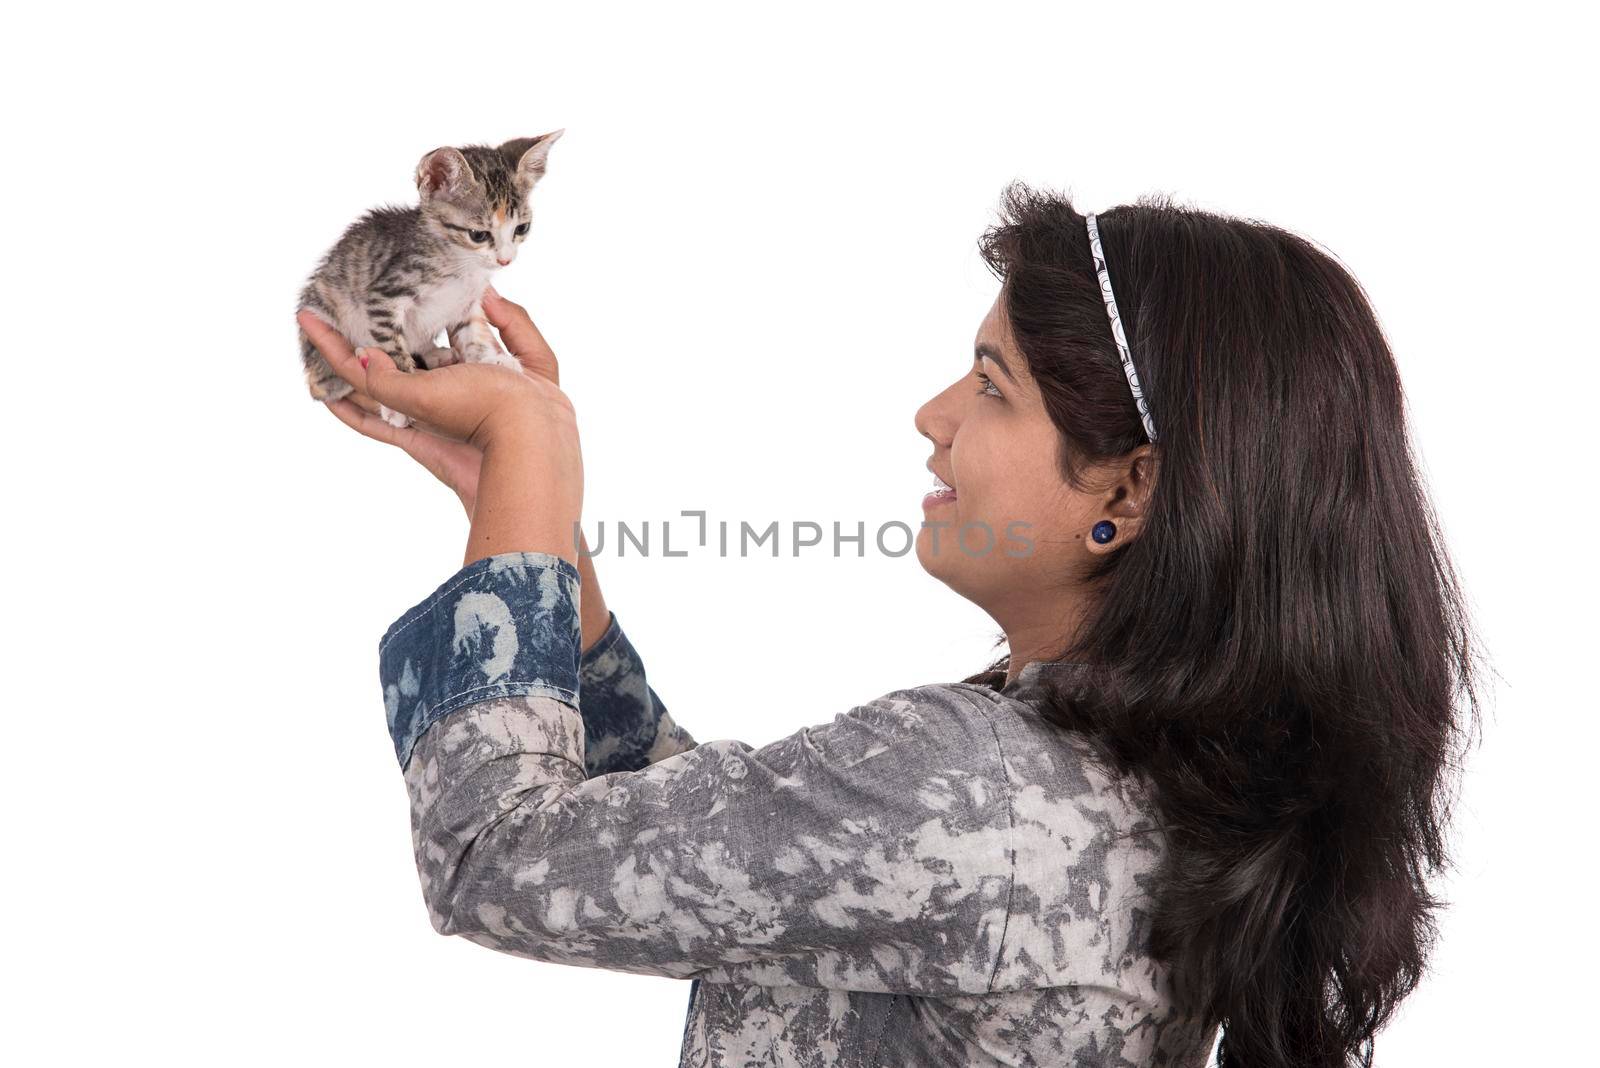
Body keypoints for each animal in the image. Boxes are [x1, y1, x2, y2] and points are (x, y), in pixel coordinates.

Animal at [297, 127, 566, 422]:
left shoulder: (467, 302)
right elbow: (392, 345)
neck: (461, 262)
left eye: (521, 228)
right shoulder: (384, 295)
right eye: (478, 235)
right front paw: (396, 402)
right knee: (320, 382)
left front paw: (491, 358)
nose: (505, 260)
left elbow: (472, 332)